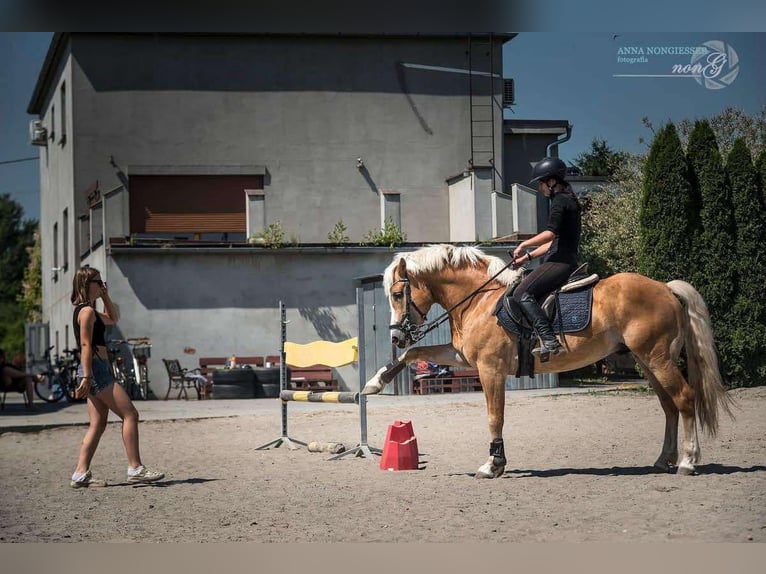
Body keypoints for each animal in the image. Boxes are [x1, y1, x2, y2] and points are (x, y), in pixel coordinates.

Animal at [364, 245, 736, 480]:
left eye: (397, 294)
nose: (396, 336)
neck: (478, 300)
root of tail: (666, 288)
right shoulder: (463, 357)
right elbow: (415, 354)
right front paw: (375, 382)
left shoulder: (489, 369)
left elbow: (494, 417)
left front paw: (493, 465)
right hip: (647, 361)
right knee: (669, 406)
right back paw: (663, 459)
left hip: (656, 358)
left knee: (685, 399)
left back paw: (688, 462)